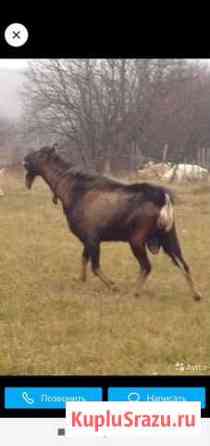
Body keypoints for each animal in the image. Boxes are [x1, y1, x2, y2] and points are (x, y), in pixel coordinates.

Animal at [23, 146, 202, 300]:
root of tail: (163, 198)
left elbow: (95, 266)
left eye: (40, 153)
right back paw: (196, 294)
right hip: (169, 236)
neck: (70, 191)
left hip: (137, 239)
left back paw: (135, 292)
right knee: (183, 264)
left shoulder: (93, 238)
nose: (25, 158)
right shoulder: (87, 239)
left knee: (147, 266)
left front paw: (113, 286)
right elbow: (84, 259)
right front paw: (81, 280)